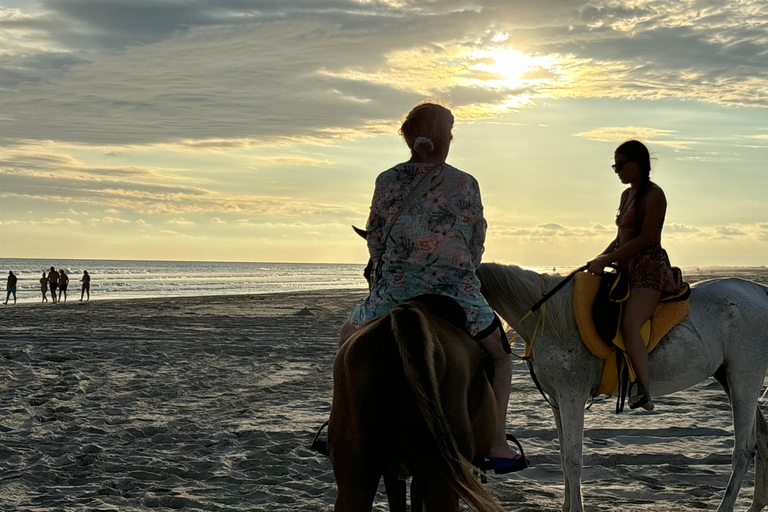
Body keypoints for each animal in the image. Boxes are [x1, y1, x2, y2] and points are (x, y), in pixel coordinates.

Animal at [474, 264, 768, 512]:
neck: (548, 319)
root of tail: (760, 292)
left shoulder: (571, 397)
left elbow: (573, 460)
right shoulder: (558, 400)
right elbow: (564, 456)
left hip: (744, 379)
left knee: (743, 450)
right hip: (729, 379)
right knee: (761, 440)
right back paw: (756, 504)